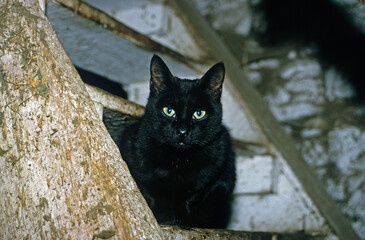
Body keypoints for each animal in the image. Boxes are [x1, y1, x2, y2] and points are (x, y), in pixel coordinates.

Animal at [118, 54, 235, 229]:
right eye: (168, 111)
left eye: (199, 113)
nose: (182, 132)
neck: (178, 160)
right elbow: (151, 191)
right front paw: (162, 217)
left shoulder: (216, 172)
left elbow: (191, 196)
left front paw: (182, 220)